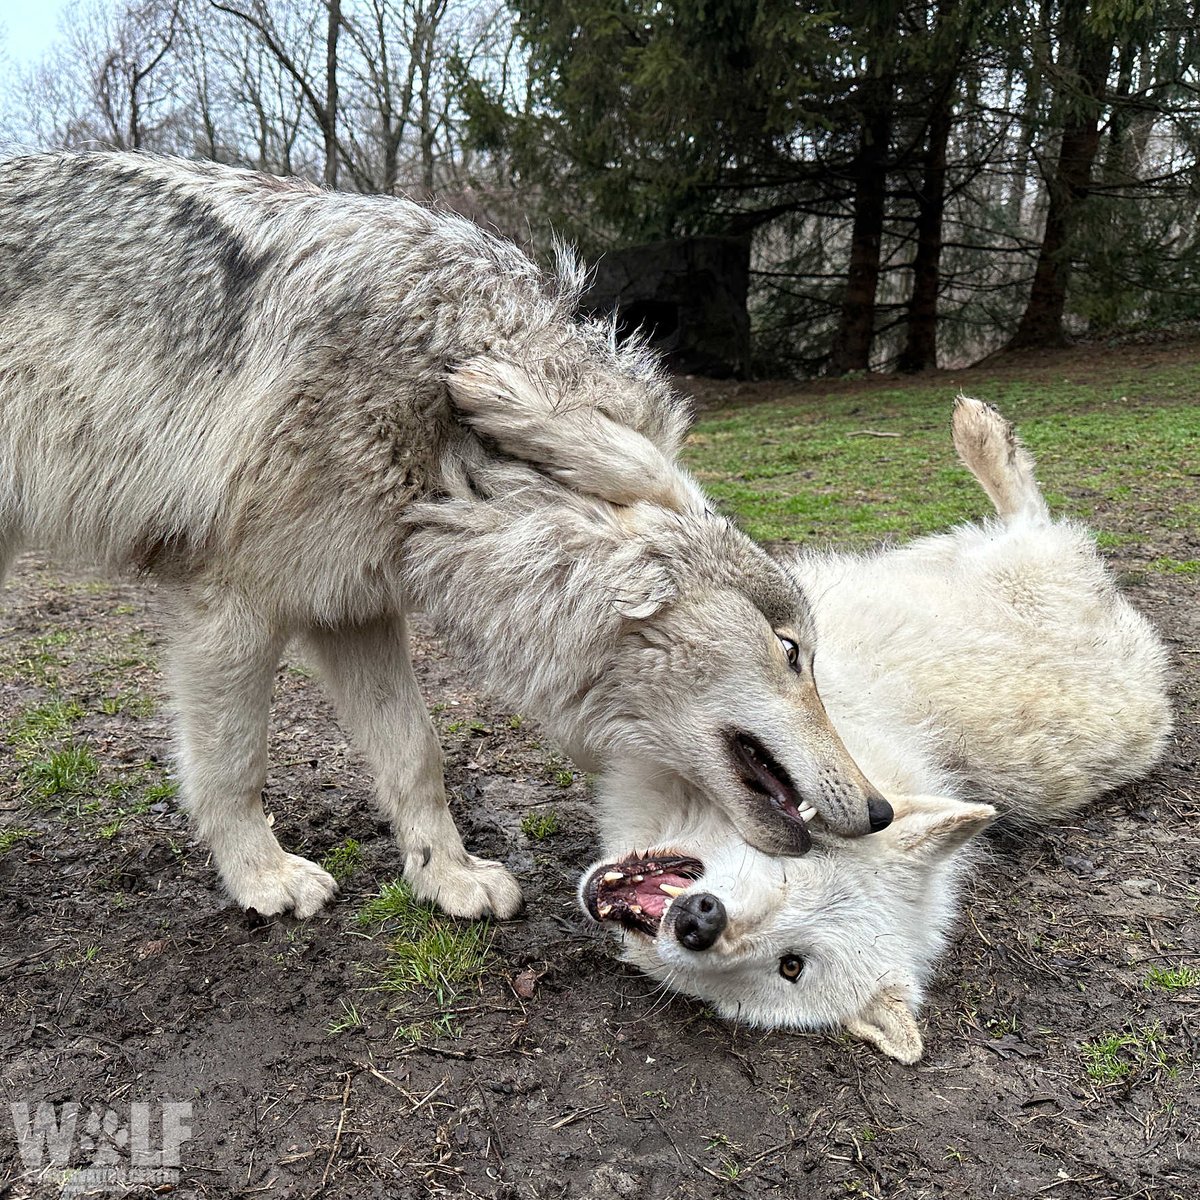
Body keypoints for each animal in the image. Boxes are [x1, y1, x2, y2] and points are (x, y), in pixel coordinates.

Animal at [0, 150, 892, 916]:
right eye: (792, 652)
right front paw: (261, 879)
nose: (881, 809)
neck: (447, 455)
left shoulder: (351, 609)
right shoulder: (230, 608)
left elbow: (416, 753)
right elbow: (233, 763)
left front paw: (448, 877)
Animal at [580, 398, 1171, 1065]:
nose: (702, 921)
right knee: (1031, 509)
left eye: (791, 966)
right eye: (798, 863)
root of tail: (1153, 663)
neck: (873, 749)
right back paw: (979, 429)